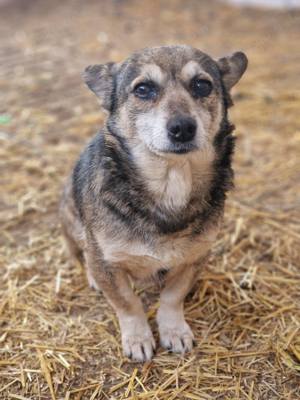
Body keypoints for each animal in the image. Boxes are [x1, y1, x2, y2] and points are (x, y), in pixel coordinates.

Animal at [59, 46, 247, 362]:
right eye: (143, 89)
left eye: (202, 85)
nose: (182, 127)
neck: (170, 185)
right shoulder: (108, 261)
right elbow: (127, 303)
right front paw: (138, 338)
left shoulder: (195, 257)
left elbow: (172, 297)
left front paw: (174, 331)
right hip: (71, 219)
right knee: (82, 255)